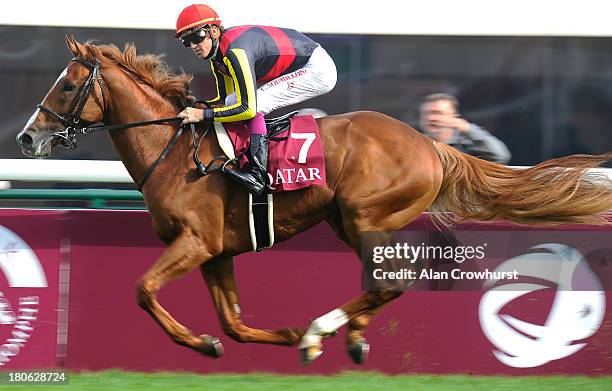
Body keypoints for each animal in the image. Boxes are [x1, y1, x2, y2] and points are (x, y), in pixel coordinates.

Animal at [16, 38, 608, 366]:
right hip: (351, 222)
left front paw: (218, 342)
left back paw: (324, 330)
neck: (172, 149)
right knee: (386, 282)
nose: (26, 137)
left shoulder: (195, 242)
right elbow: (233, 323)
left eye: (66, 86)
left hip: (364, 214)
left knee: (390, 280)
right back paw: (348, 337)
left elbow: (142, 290)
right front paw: (253, 338)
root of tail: (431, 145)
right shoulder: (218, 252)